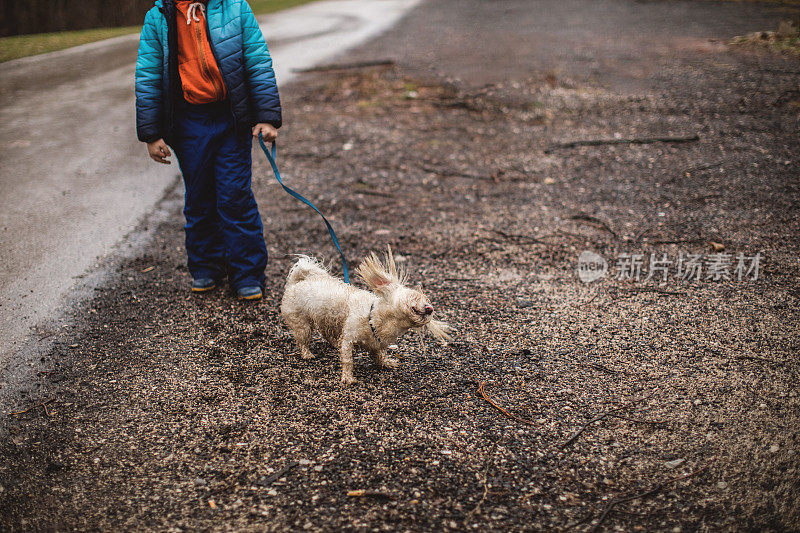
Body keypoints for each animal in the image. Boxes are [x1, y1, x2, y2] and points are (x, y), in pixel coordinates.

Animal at [282, 245, 450, 382]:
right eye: (414, 296)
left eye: (428, 301)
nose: (430, 309)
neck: (374, 316)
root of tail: (295, 283)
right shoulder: (349, 337)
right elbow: (348, 359)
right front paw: (348, 378)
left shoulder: (375, 344)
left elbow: (377, 356)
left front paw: (385, 363)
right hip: (302, 324)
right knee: (303, 340)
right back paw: (307, 354)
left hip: (326, 319)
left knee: (326, 333)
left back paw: (334, 344)